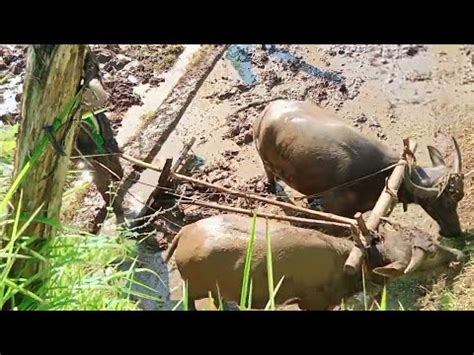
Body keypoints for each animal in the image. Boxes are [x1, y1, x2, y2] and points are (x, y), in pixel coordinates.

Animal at [165, 214, 464, 312]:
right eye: (430, 254)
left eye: (430, 239)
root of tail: (185, 232)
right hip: (193, 287)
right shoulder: (312, 303)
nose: (459, 256)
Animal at [254, 100, 464, 239]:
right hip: (265, 160)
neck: (385, 175)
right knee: (270, 174)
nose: (455, 232)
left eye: (457, 200)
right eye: (439, 204)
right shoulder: (338, 211)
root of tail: (267, 109)